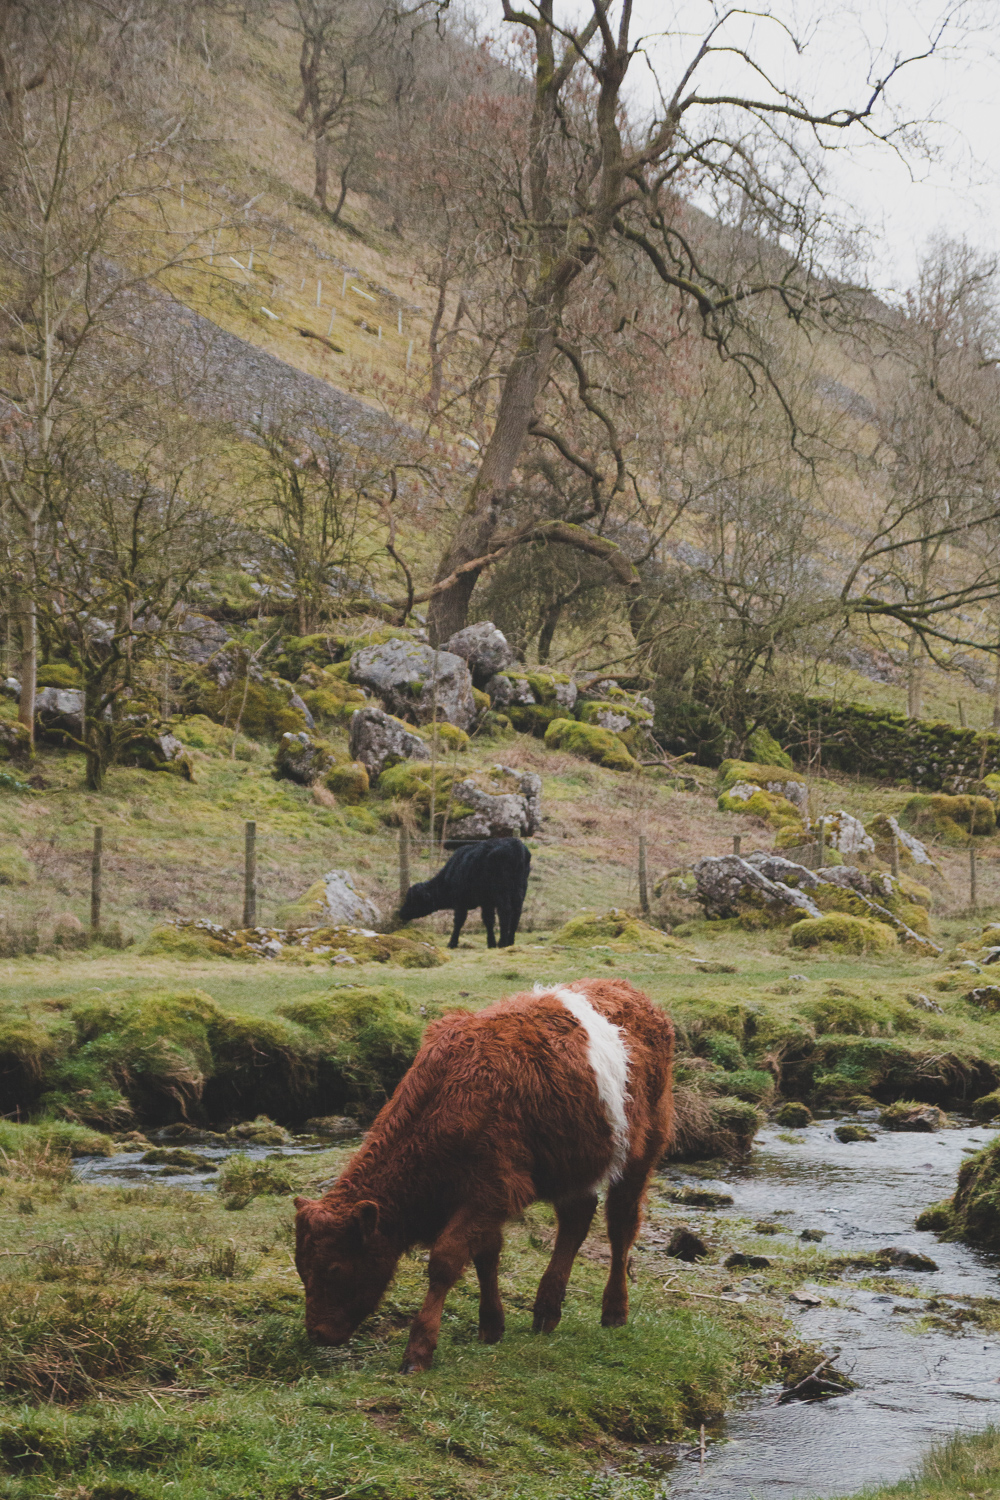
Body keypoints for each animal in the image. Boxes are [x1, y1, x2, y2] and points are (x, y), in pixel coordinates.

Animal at [293, 972, 677, 1374]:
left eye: (335, 1268)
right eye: (302, 1268)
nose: (317, 1333)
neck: (448, 1096)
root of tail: (626, 989)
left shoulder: (492, 1190)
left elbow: (445, 1261)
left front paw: (419, 1350)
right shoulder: (487, 1197)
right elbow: (486, 1255)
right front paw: (492, 1325)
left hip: (642, 1148)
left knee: (621, 1224)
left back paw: (614, 1310)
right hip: (574, 1161)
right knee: (577, 1218)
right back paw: (546, 1310)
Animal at [395, 834, 530, 948]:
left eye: (413, 900)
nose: (401, 912)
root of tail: (516, 844)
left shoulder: (460, 901)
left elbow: (459, 921)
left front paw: (452, 943)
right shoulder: (486, 902)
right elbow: (488, 920)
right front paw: (491, 943)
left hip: (502, 891)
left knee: (505, 911)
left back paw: (502, 942)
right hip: (520, 890)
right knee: (516, 912)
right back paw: (510, 941)